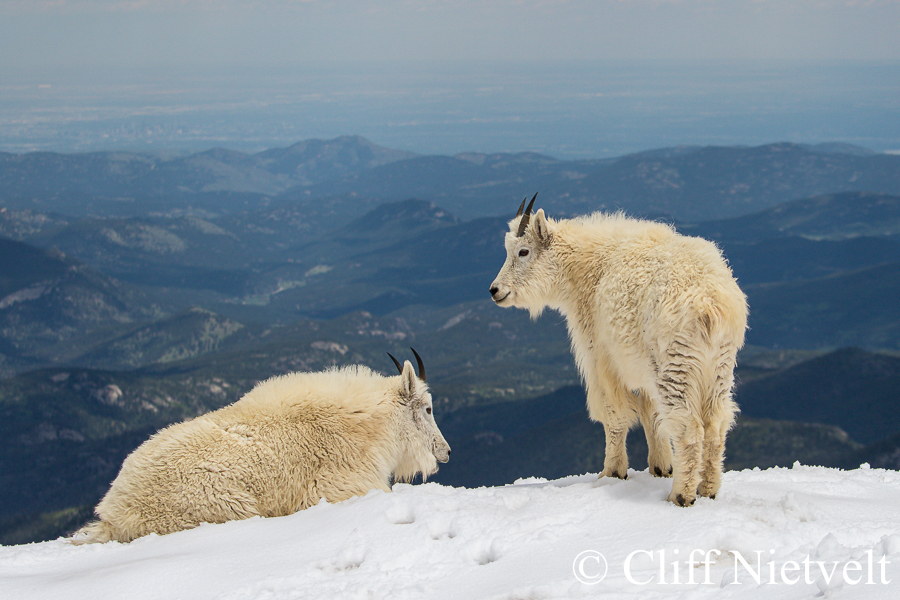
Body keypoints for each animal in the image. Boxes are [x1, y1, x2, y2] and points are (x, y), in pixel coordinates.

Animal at [70, 352, 450, 544]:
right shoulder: (342, 488)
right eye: (428, 409)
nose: (445, 452)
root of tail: (115, 512)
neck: (367, 424)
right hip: (227, 505)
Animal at [488, 197, 748, 506]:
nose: (495, 290)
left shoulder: (601, 357)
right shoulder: (643, 370)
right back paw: (708, 489)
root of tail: (711, 304)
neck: (587, 267)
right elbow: (651, 415)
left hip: (676, 365)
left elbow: (613, 414)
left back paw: (681, 495)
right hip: (718, 368)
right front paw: (661, 467)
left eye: (523, 251)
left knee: (688, 427)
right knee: (716, 424)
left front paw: (612, 472)